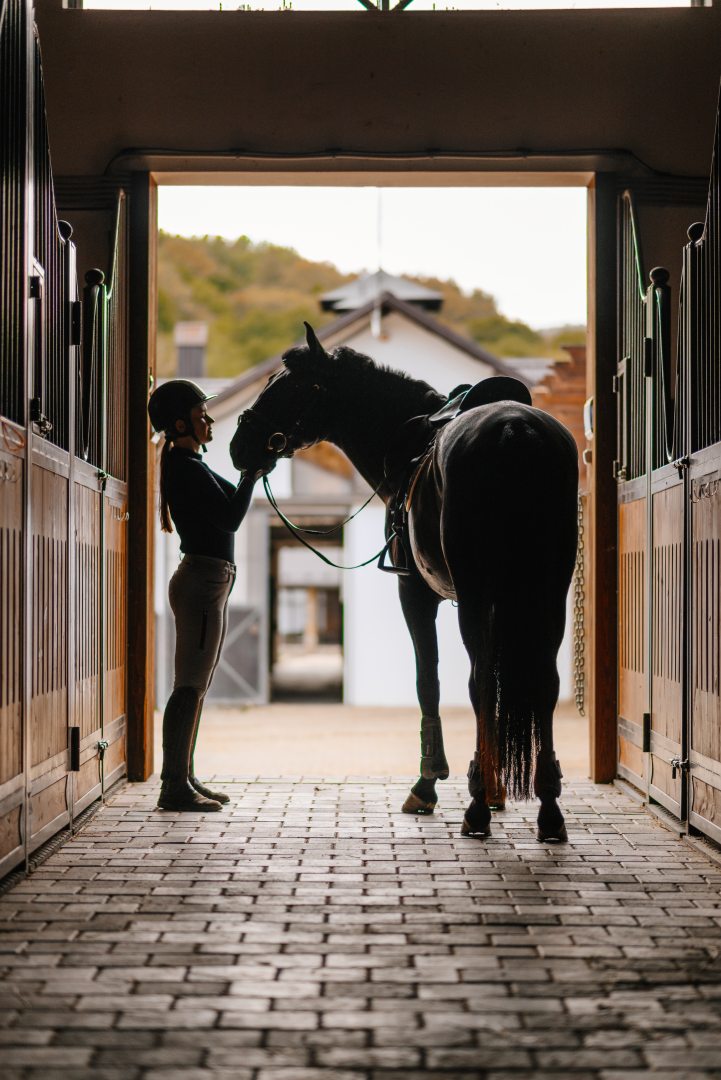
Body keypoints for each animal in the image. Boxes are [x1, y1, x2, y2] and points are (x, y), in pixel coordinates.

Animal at [230, 319, 578, 842]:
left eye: (289, 386)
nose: (238, 446)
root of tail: (516, 430)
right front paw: (498, 789)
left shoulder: (415, 592)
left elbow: (428, 681)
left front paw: (429, 784)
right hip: (548, 594)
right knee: (544, 683)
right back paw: (548, 808)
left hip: (479, 594)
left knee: (479, 681)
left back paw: (476, 807)